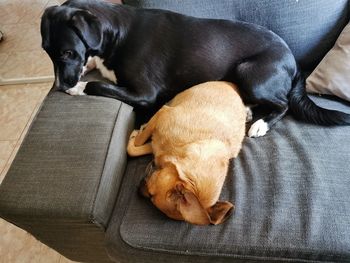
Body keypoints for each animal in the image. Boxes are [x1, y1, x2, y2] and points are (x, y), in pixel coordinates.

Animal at [39, 0, 348, 137]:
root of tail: (293, 61)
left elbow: (99, 84)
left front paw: (79, 87)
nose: (59, 86)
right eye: (47, 52)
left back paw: (261, 124)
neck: (116, 34)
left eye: (67, 52)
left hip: (250, 72)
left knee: (283, 104)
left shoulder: (145, 93)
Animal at [128, 81, 246, 226]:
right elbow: (137, 143)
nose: (138, 190)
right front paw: (136, 134)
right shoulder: (162, 115)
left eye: (151, 196)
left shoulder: (156, 146)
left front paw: (133, 136)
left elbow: (134, 148)